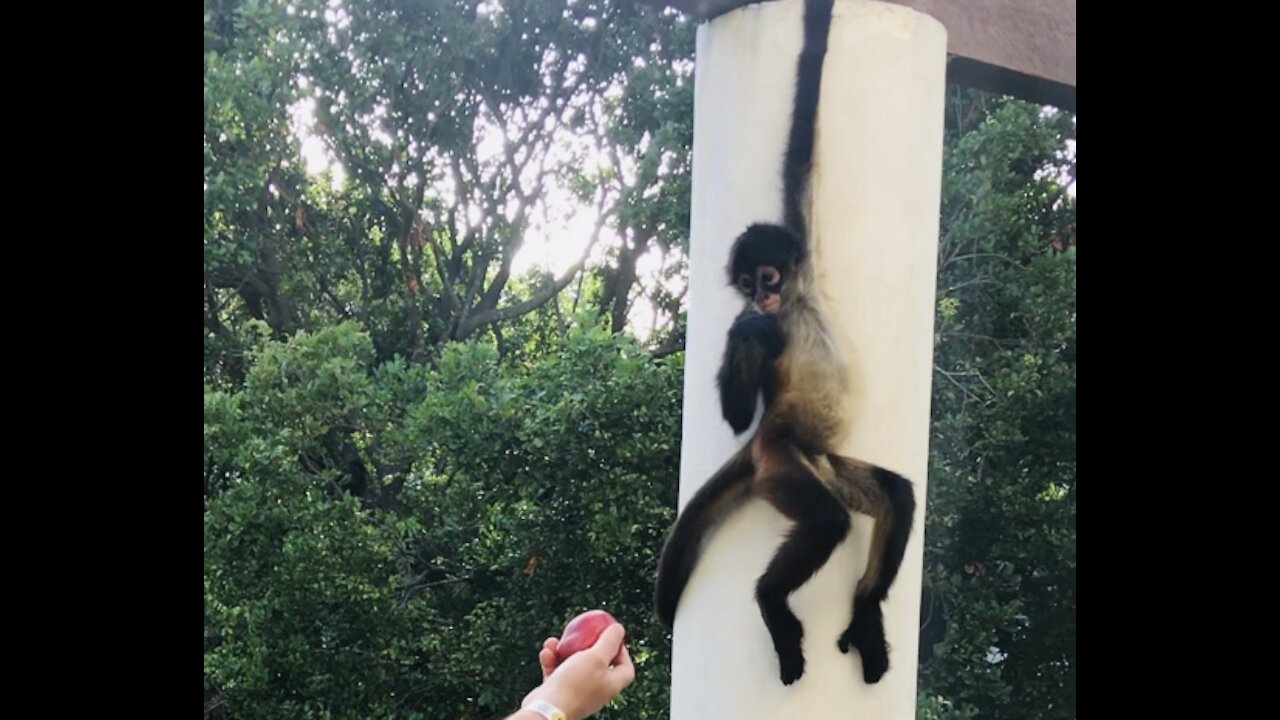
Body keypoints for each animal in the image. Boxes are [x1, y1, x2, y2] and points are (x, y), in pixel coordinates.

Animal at [654, 0, 916, 686]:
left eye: (768, 277)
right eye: (747, 285)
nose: (761, 299)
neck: (797, 308)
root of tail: (778, 443)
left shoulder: (804, 249)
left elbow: (801, 154)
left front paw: (818, 27)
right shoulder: (757, 333)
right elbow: (735, 402)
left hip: (824, 463)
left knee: (896, 496)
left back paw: (865, 611)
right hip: (783, 462)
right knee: (826, 520)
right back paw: (772, 599)